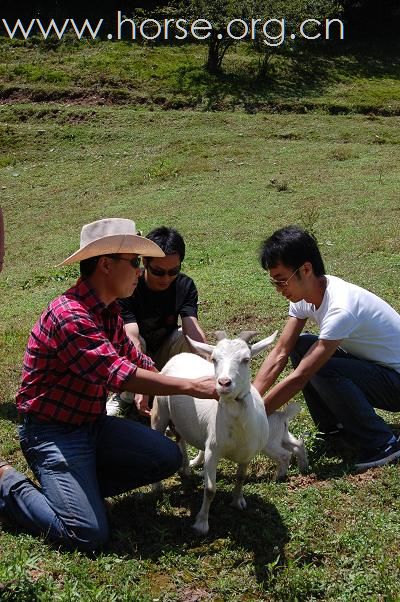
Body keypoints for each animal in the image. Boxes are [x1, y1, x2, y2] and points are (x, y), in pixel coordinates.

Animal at [152, 330, 308, 532]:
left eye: (246, 359)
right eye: (214, 359)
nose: (224, 383)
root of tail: (179, 356)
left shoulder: (248, 453)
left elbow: (240, 477)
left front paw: (237, 501)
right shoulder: (213, 450)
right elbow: (210, 489)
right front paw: (201, 524)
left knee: (181, 438)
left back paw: (186, 469)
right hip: (160, 411)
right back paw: (159, 486)